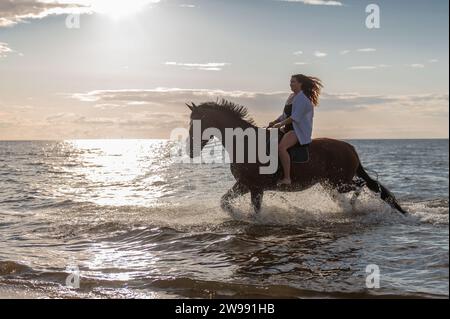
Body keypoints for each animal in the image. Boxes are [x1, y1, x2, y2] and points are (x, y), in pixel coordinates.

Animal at [185, 99, 410, 216]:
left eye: (197, 121)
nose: (191, 149)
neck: (245, 143)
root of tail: (350, 147)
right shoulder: (244, 184)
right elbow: (224, 201)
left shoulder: (254, 187)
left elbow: (255, 211)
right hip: (328, 183)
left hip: (338, 181)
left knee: (360, 185)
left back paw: (353, 206)